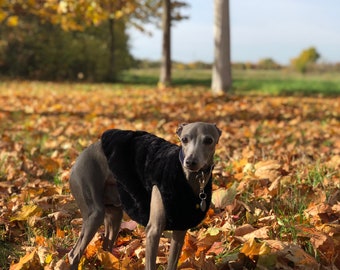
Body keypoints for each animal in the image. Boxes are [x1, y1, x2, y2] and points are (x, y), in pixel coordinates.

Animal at [68, 123, 222, 270]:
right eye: (184, 139)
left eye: (209, 140)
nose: (190, 162)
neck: (191, 179)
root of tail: (81, 156)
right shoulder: (153, 230)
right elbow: (150, 264)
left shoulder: (180, 229)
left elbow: (172, 263)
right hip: (95, 212)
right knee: (74, 254)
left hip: (114, 215)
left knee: (106, 248)